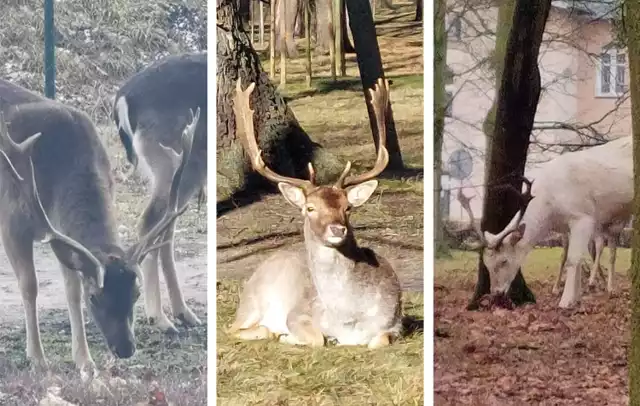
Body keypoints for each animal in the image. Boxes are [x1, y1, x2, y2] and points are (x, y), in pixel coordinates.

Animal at [0, 77, 198, 380]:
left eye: (136, 293)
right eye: (95, 298)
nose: (126, 349)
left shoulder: (60, 234)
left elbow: (71, 290)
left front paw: (85, 361)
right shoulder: (12, 220)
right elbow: (29, 285)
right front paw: (38, 359)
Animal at [112, 53, 206, 334]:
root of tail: (122, 99)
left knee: (166, 229)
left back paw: (183, 312)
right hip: (171, 160)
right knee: (150, 223)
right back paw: (160, 317)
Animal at [228, 78, 402, 348]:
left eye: (347, 207)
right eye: (310, 208)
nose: (337, 229)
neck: (349, 318)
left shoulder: (396, 322)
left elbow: (379, 340)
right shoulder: (298, 312)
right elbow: (317, 339)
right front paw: (288, 337)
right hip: (253, 301)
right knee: (233, 328)